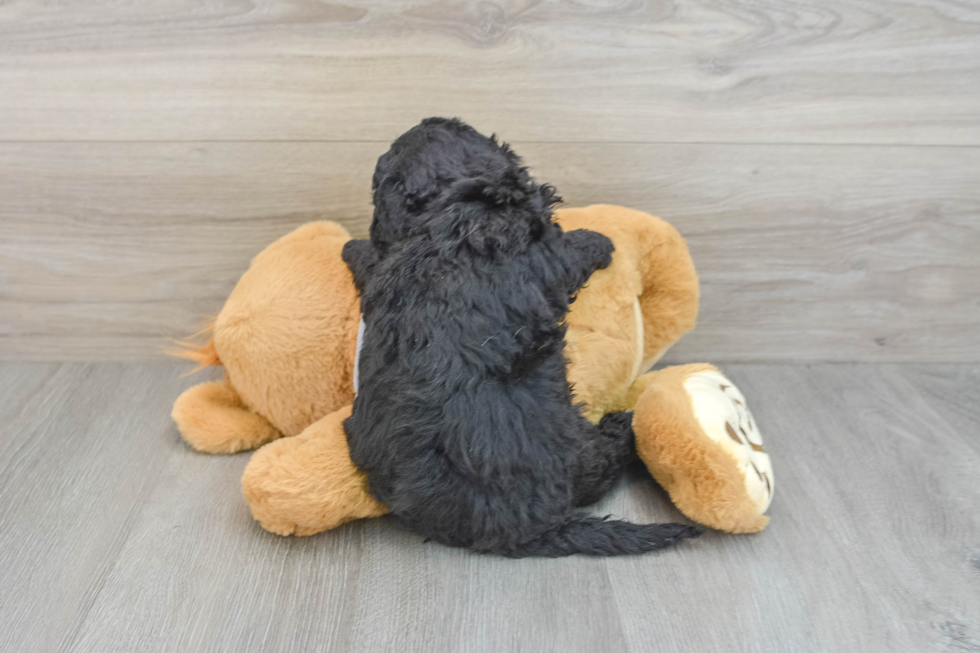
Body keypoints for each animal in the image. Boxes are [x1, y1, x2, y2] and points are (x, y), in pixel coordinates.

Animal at [342, 118, 696, 556]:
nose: (432, 119)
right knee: (599, 471)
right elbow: (571, 247)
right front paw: (599, 239)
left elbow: (369, 259)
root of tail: (534, 530)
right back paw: (626, 425)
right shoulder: (547, 249)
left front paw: (350, 245)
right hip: (576, 445)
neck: (445, 211)